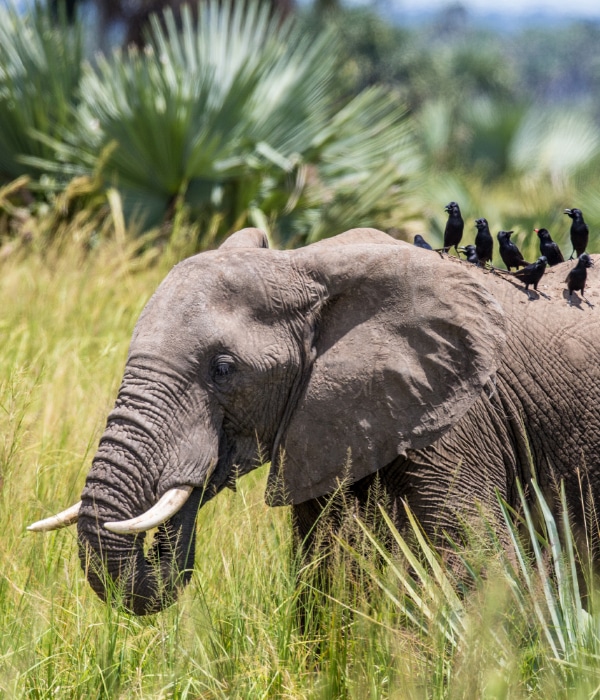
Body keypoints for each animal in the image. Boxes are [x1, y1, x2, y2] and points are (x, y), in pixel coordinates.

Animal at [29, 228, 600, 612]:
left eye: (223, 369)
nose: (164, 540)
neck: (306, 265)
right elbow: (324, 570)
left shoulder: (460, 418)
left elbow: (479, 562)